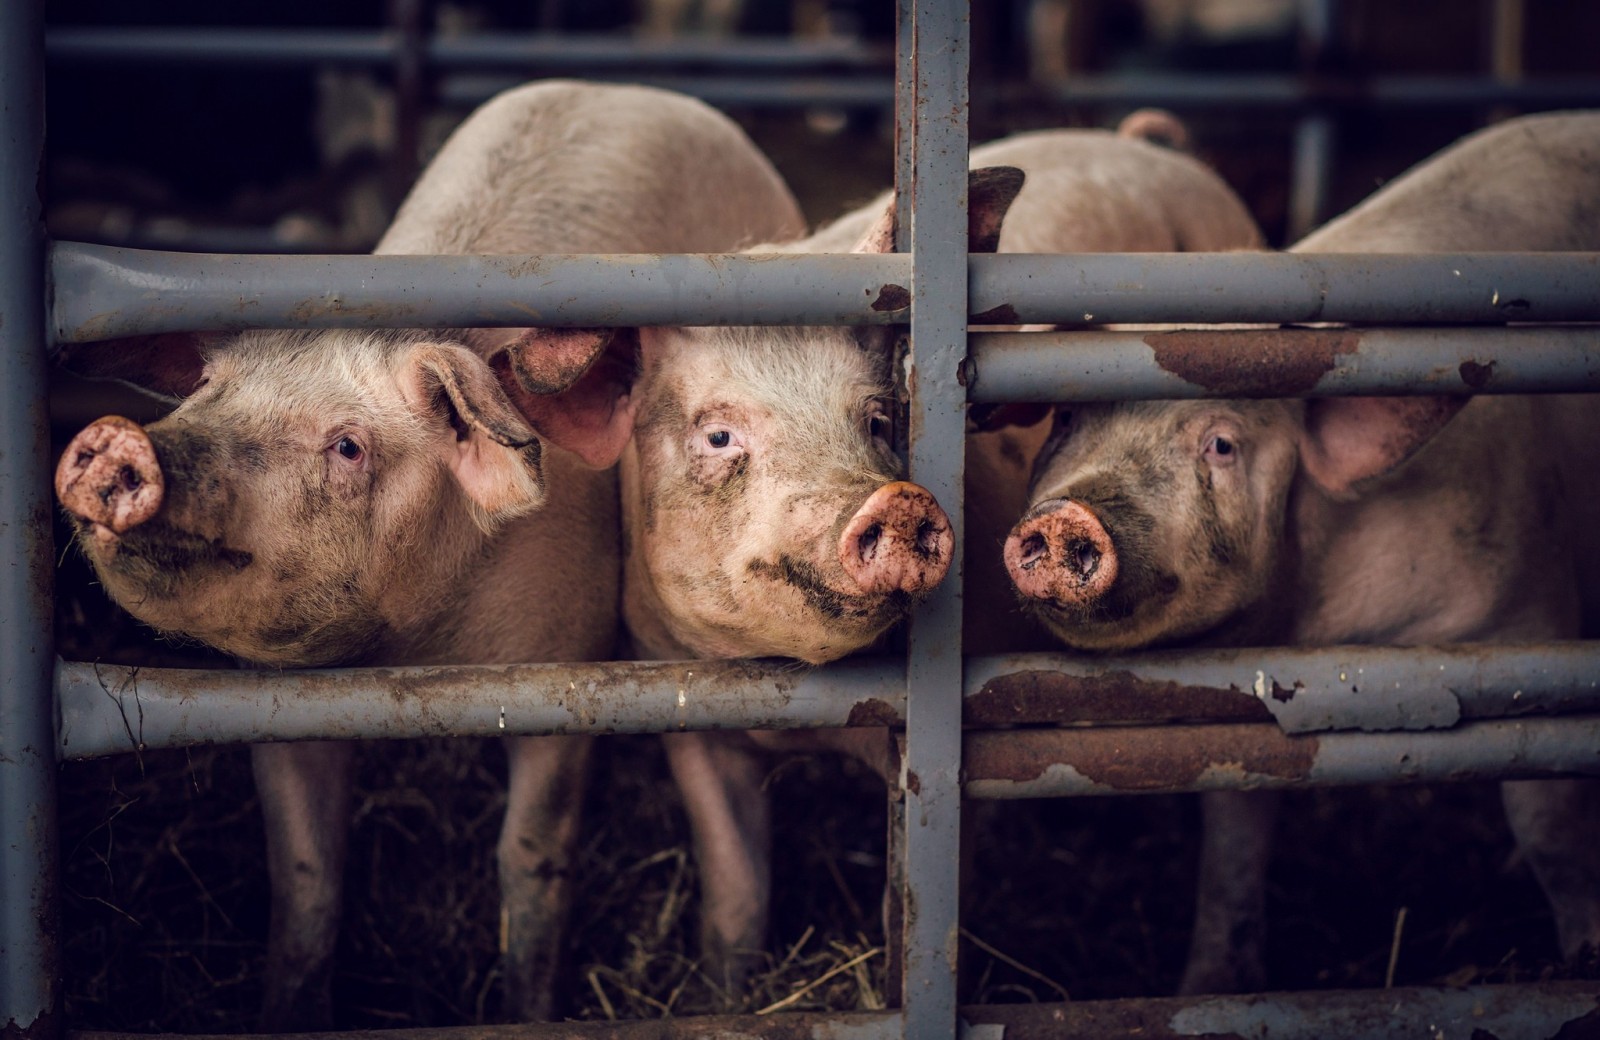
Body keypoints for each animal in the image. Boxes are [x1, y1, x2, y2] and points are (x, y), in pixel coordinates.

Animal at [53, 79, 805, 1027]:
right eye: (207, 393)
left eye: (347, 446)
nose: (123, 442)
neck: (409, 654)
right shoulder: (275, 701)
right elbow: (305, 879)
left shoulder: (566, 665)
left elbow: (530, 859)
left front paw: (525, 1010)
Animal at [998, 110, 1600, 993]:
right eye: (1069, 420)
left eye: (1221, 444)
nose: (1070, 515)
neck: (1318, 630)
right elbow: (1233, 834)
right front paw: (1209, 986)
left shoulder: (1529, 622)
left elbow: (1549, 823)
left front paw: (1583, 959)